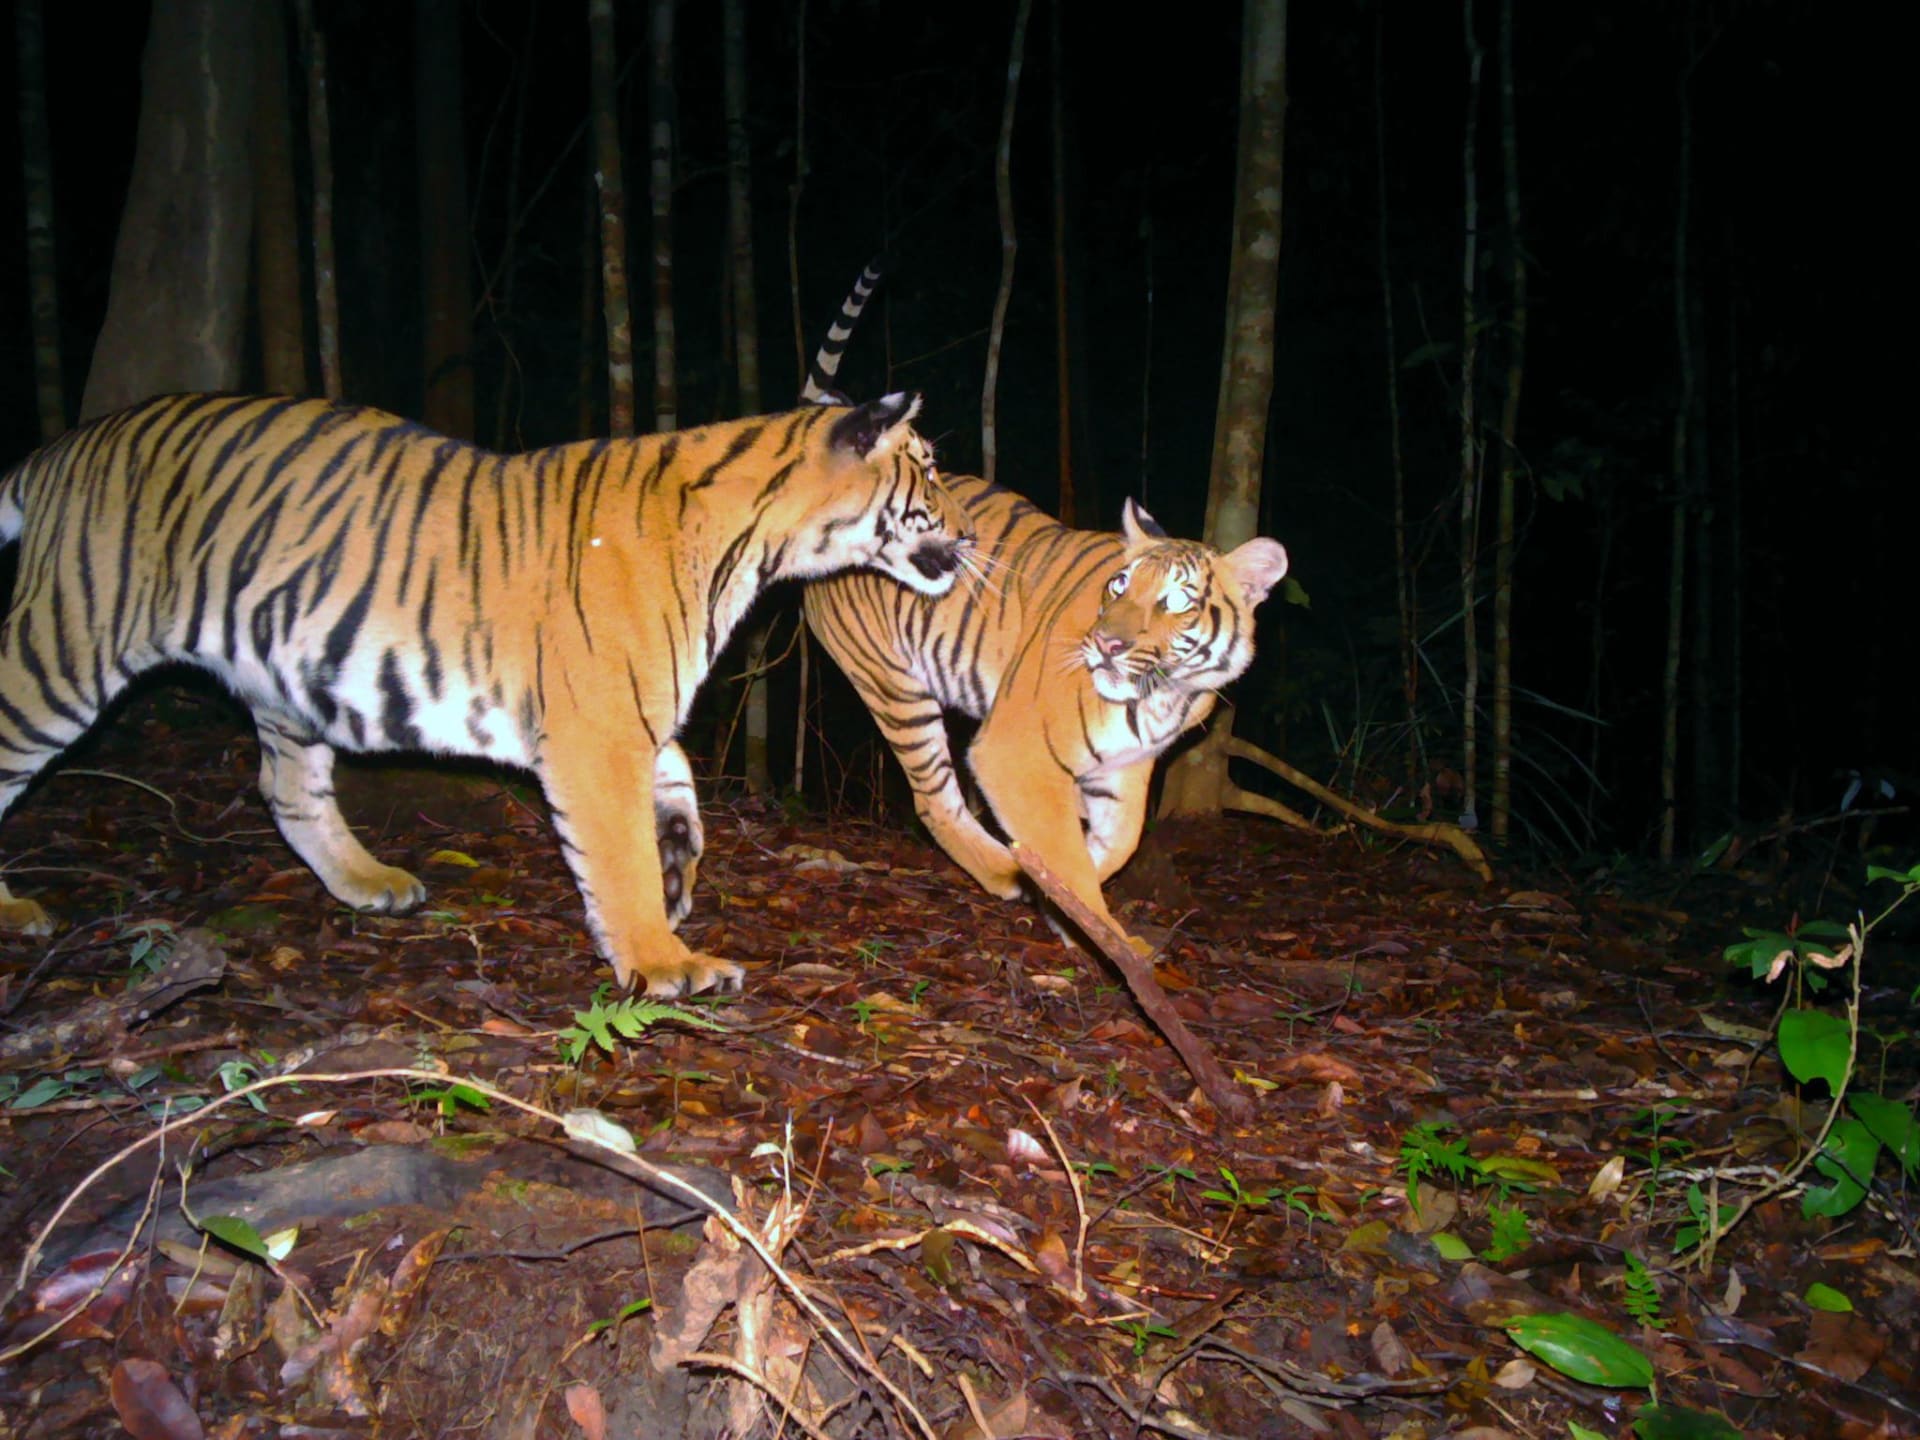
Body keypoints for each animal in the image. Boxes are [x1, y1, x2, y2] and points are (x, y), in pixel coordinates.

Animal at [0, 395, 967, 1006]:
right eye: (927, 472)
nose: (968, 533)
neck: (761, 544)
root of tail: (56, 451)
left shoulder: (628, 708)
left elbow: (677, 777)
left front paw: (677, 866)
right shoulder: (595, 727)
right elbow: (612, 853)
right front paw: (664, 961)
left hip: (282, 675)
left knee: (286, 790)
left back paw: (372, 884)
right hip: (66, 644)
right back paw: (18, 912)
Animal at [794, 268, 1290, 960]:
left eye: (1175, 601)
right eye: (1119, 586)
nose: (1107, 646)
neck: (1163, 694)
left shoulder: (1127, 767)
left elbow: (1116, 844)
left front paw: (1070, 904)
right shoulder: (1014, 752)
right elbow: (1068, 855)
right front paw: (1097, 932)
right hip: (894, 685)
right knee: (935, 799)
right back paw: (1004, 870)